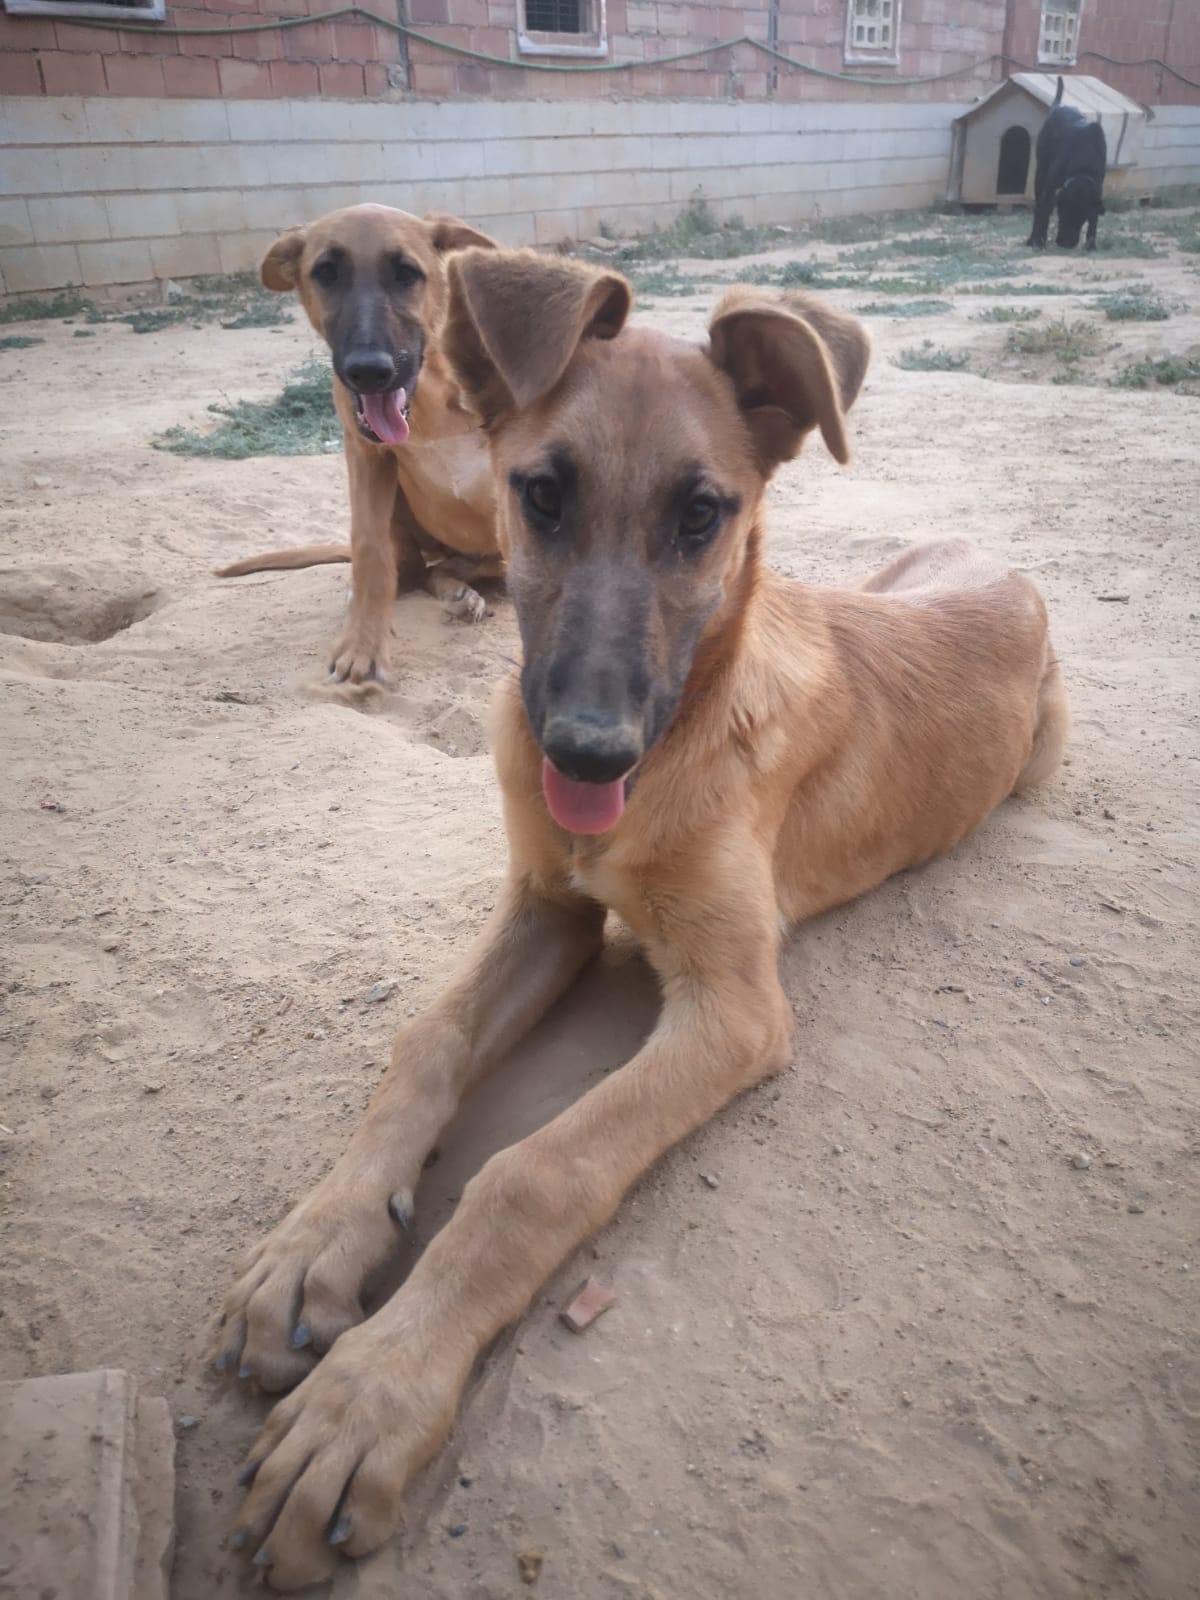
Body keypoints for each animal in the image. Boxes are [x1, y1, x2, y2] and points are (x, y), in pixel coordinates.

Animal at [216, 205, 503, 684]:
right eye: (326, 272)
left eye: (407, 273)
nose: (368, 371)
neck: (433, 390)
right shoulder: (367, 455)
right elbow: (369, 552)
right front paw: (363, 646)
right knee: (419, 570)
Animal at [1027, 76, 1107, 251]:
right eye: (1063, 213)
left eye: (1082, 218)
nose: (1066, 244)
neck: (1083, 168)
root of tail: (1057, 108)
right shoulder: (1049, 186)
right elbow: (1043, 211)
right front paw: (1038, 240)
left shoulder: (1097, 190)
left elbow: (1095, 219)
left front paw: (1091, 245)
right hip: (1040, 172)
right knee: (1038, 206)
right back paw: (1031, 239)